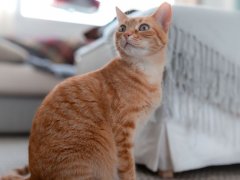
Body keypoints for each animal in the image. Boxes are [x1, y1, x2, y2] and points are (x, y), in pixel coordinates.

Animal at [1, 2, 171, 180]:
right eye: (122, 28)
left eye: (144, 27)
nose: (127, 34)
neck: (147, 71)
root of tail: (34, 174)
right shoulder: (124, 133)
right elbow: (128, 167)